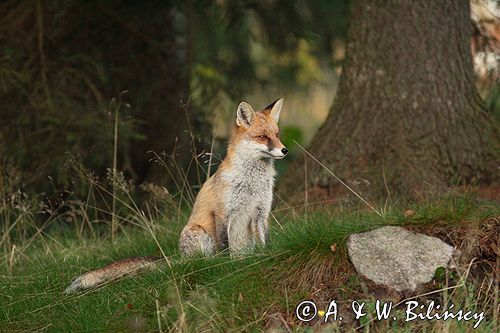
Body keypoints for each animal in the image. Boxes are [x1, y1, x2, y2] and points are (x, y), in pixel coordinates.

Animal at [64, 97, 288, 292]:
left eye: (277, 135)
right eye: (263, 137)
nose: (285, 150)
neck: (251, 182)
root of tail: (180, 257)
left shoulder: (261, 212)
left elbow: (266, 241)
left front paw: (266, 255)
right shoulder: (223, 213)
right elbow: (225, 247)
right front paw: (228, 265)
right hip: (198, 233)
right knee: (201, 260)